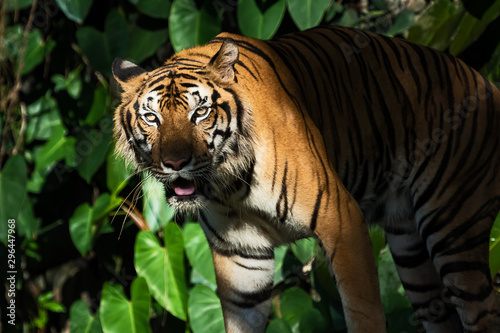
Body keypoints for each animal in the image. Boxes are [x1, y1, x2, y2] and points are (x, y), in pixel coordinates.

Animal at [113, 26, 500, 332]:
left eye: (200, 112)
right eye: (151, 117)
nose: (176, 162)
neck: (230, 187)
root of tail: (486, 81)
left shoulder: (343, 222)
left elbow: (363, 312)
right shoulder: (240, 258)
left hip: (453, 226)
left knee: (482, 310)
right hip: (411, 253)